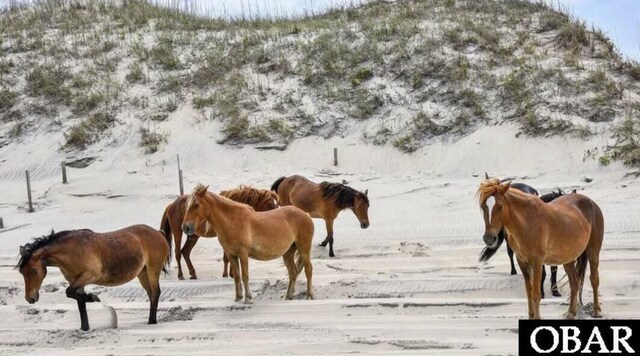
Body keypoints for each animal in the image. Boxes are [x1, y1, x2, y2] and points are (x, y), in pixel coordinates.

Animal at [17, 225, 171, 330]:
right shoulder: (75, 281)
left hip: (152, 271)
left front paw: (93, 297)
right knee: (151, 294)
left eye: (34, 271)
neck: (72, 250)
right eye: (22, 272)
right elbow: (79, 303)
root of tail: (158, 233)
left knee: (155, 293)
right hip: (142, 274)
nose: (30, 298)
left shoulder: (89, 276)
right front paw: (84, 328)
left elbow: (69, 292)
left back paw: (152, 321)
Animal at [181, 184, 314, 304]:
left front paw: (248, 298)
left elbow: (245, 275)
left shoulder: (243, 254)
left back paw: (309, 296)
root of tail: (306, 215)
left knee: (308, 269)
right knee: (293, 273)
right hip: (288, 253)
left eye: (196, 205)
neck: (233, 221)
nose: (186, 228)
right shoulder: (231, 255)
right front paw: (238, 297)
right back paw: (288, 296)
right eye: (187, 206)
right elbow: (237, 276)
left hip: (304, 249)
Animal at [478, 179, 604, 318]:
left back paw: (596, 311)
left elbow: (536, 294)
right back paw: (571, 313)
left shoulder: (537, 262)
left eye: (500, 206)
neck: (527, 222)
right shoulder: (522, 262)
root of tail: (591, 203)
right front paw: (531, 315)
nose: (489, 238)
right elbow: (529, 292)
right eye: (483, 206)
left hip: (593, 251)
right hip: (568, 258)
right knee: (574, 283)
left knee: (594, 279)